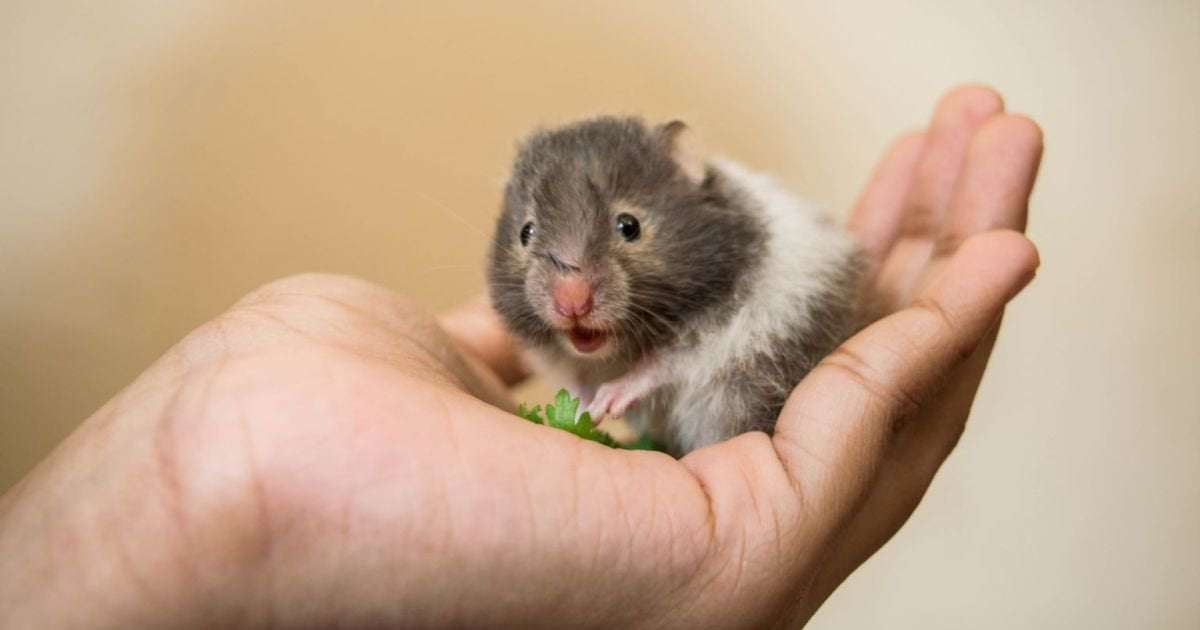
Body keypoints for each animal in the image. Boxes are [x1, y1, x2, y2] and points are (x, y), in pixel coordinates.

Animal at [488, 117, 864, 456]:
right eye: (526, 233)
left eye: (629, 226)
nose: (571, 303)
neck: (618, 351)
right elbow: (576, 381)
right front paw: (582, 410)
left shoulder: (717, 330)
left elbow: (660, 366)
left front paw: (607, 401)